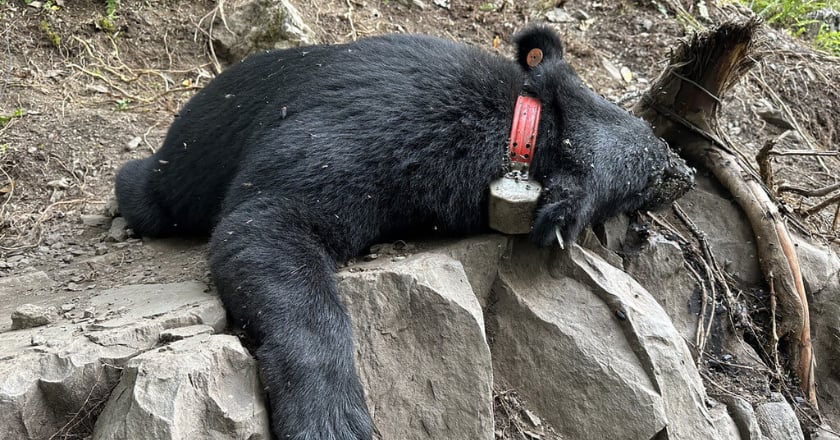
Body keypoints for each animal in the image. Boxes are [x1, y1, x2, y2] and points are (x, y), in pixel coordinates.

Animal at [115, 26, 694, 440]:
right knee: (157, 192)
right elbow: (265, 224)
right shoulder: (368, 137)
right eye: (654, 169)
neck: (520, 131)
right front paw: (332, 419)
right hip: (190, 159)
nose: (686, 169)